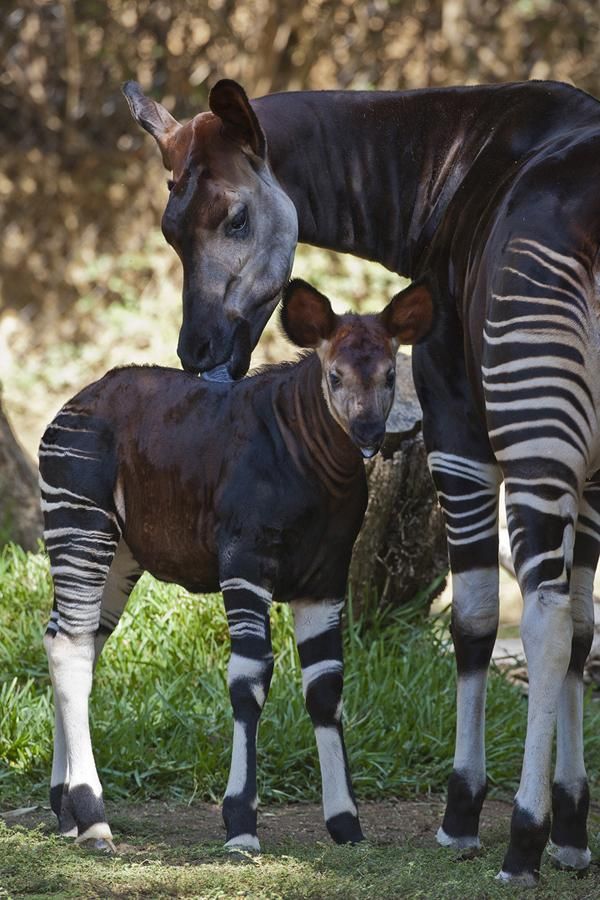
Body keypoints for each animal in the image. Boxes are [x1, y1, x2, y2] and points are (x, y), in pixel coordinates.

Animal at [42, 278, 434, 856]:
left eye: (390, 375)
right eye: (334, 376)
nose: (367, 433)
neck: (314, 468)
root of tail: (68, 406)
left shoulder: (325, 578)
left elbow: (326, 686)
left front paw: (346, 823)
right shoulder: (246, 561)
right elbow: (250, 680)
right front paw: (241, 824)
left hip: (120, 551)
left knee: (72, 641)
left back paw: (65, 809)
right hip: (80, 524)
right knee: (70, 647)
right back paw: (93, 818)